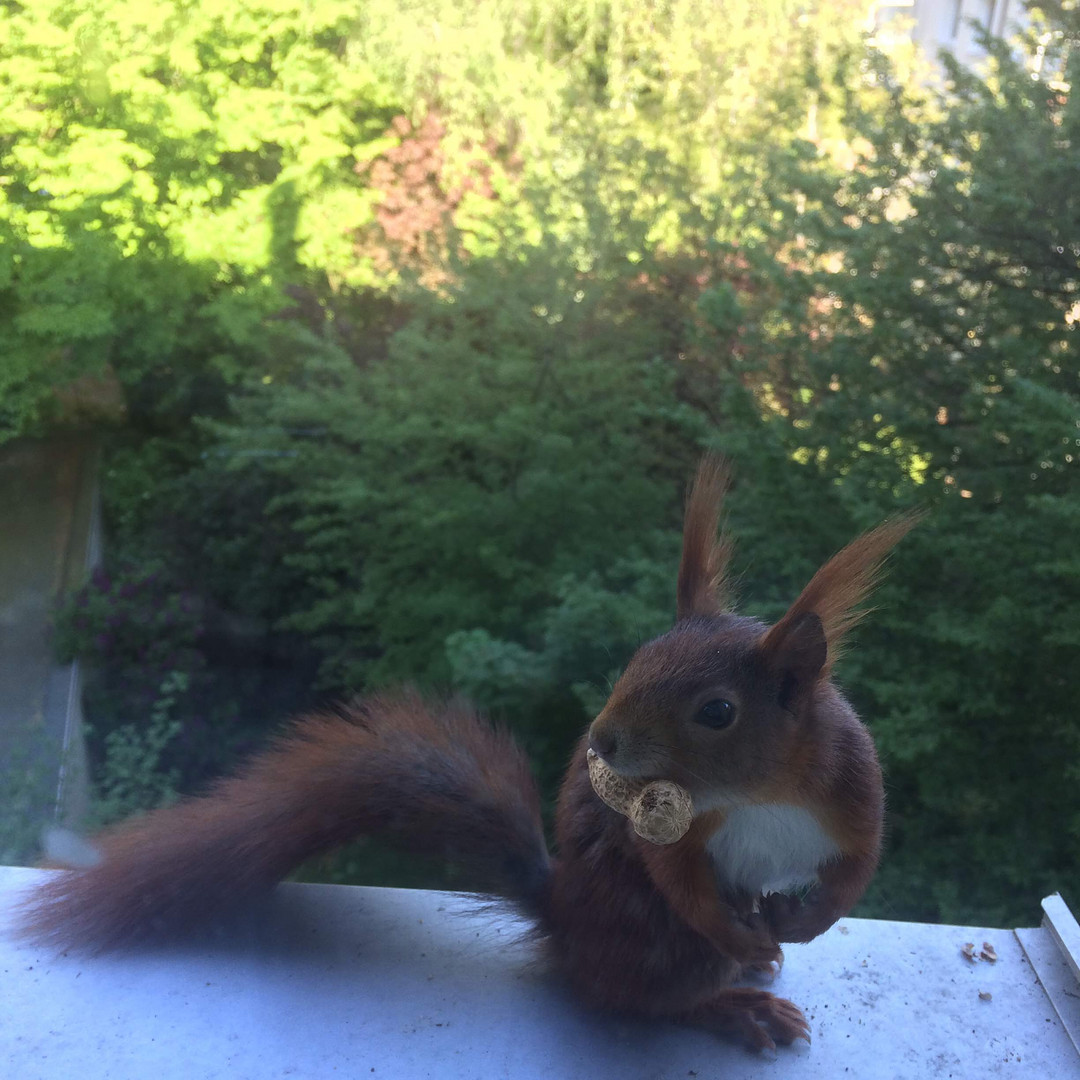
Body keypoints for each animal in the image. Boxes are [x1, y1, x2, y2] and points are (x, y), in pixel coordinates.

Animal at [16, 457, 915, 1054]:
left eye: (718, 712)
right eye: (635, 657)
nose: (602, 740)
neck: (756, 792)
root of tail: (564, 919)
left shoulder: (850, 787)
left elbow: (861, 862)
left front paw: (810, 918)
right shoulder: (677, 832)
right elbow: (680, 883)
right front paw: (746, 933)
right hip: (652, 943)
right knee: (634, 1000)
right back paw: (736, 996)